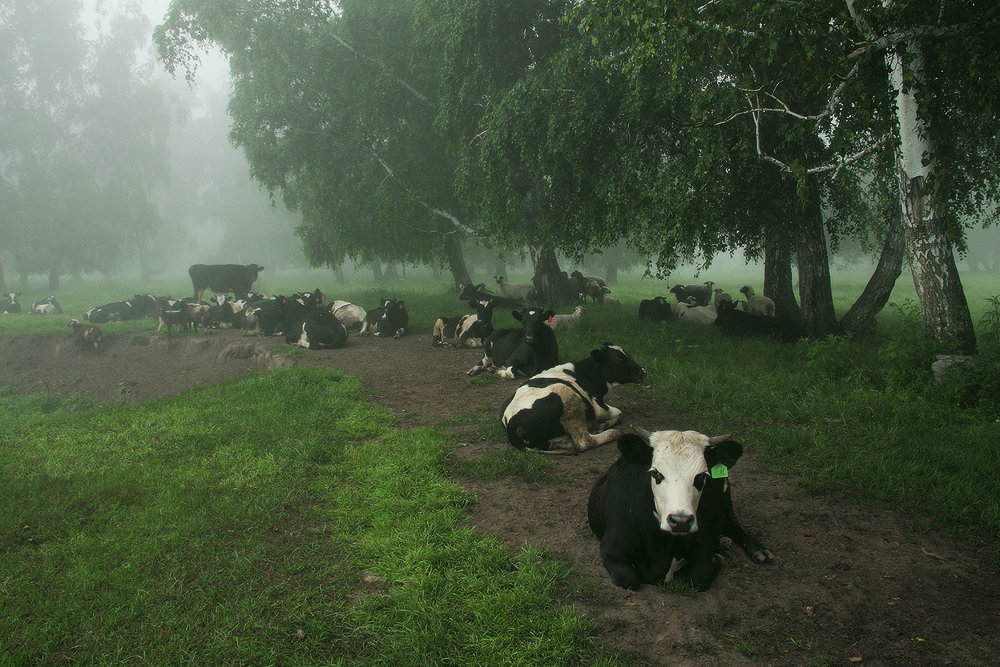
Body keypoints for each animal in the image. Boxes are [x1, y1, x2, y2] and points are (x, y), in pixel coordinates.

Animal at [500, 342, 648, 456]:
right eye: (618, 359)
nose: (643, 372)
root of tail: (512, 420)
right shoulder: (597, 406)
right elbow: (619, 413)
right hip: (569, 399)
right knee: (584, 442)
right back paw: (611, 432)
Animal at [584, 430, 772, 592]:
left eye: (701, 476)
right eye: (656, 473)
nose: (680, 521)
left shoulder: (702, 542)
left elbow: (697, 578)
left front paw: (715, 559)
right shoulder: (612, 549)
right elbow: (629, 579)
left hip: (725, 503)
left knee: (733, 525)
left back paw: (758, 550)